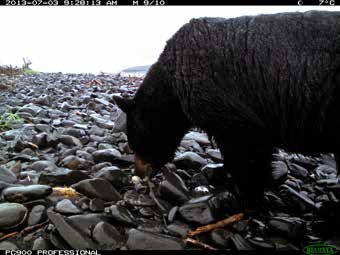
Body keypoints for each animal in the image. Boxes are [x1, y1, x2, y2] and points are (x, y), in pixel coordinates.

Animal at [114, 11, 340, 206]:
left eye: (135, 144)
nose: (138, 173)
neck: (174, 86)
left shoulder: (226, 102)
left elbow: (247, 148)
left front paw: (247, 195)